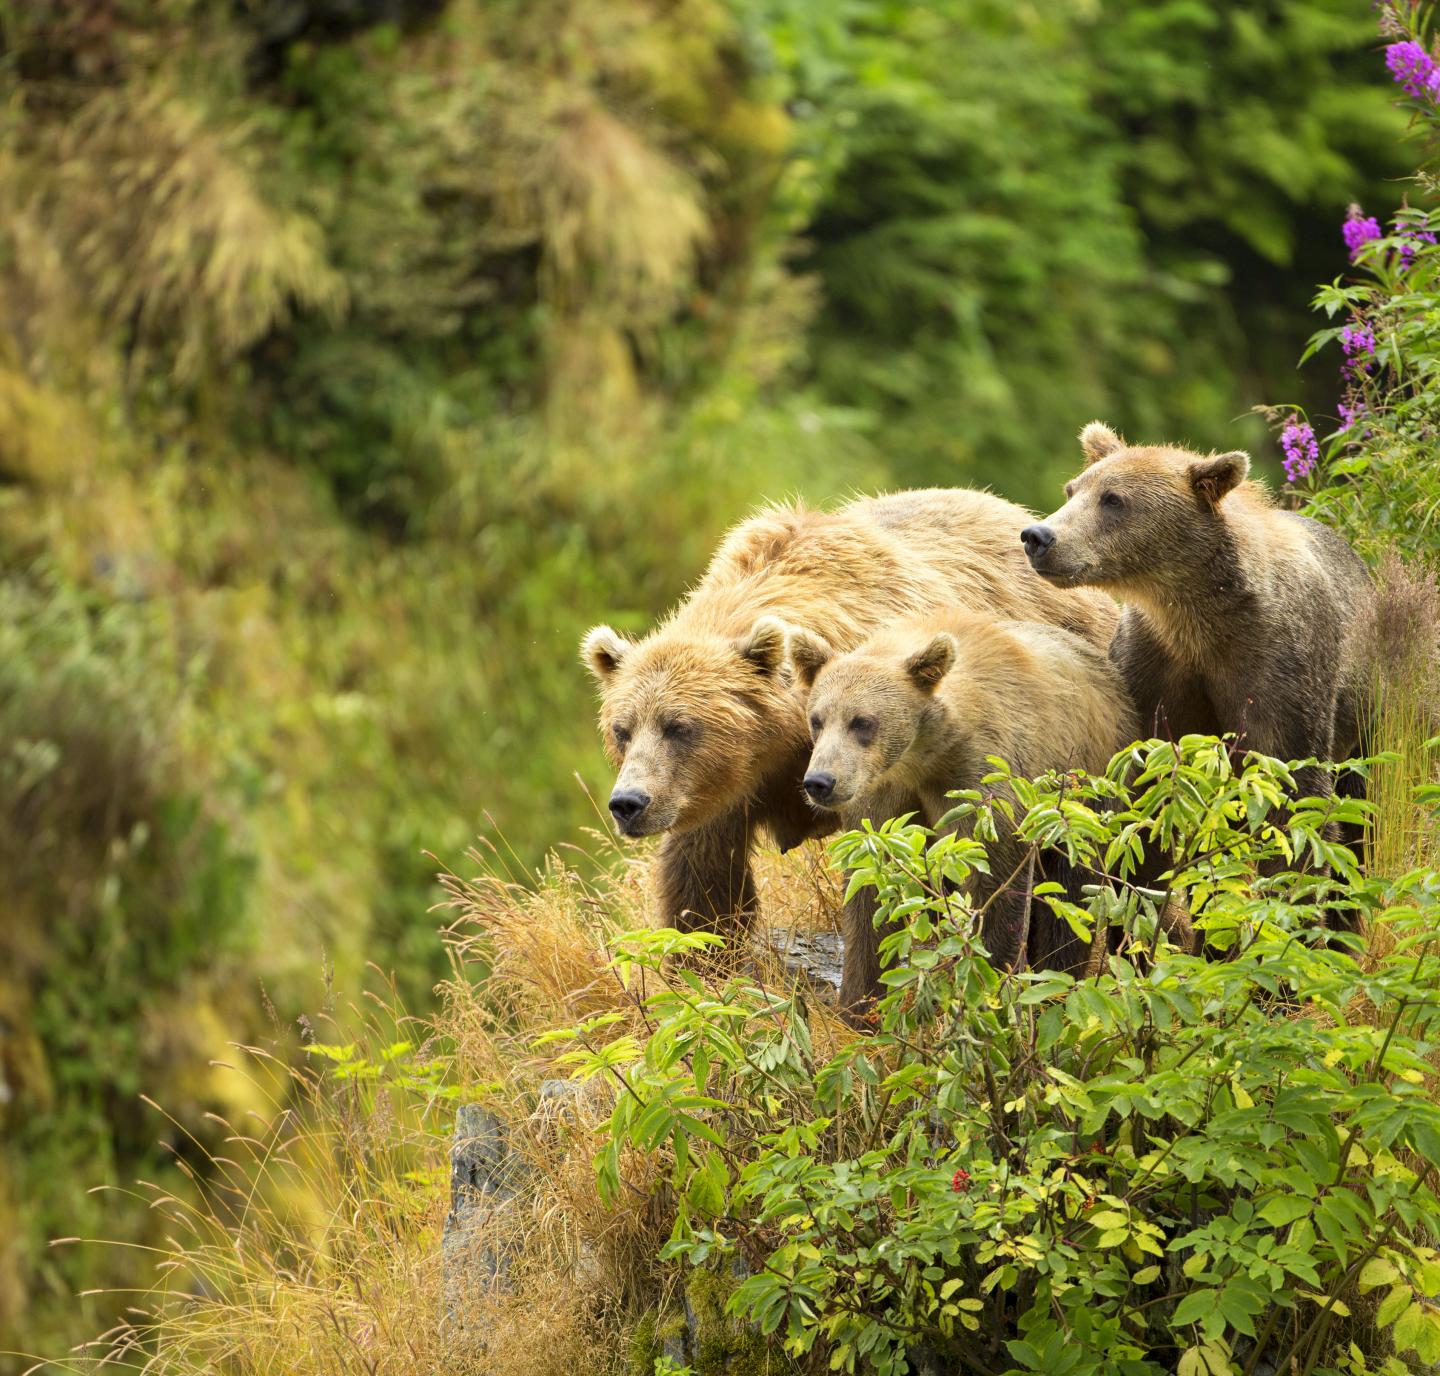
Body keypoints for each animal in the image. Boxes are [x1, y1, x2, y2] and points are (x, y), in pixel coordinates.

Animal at [581, 488, 1120, 986]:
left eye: (679, 726)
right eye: (622, 729)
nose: (629, 803)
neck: (782, 746)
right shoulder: (716, 792)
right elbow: (705, 886)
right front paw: (703, 968)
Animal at [784, 610, 1140, 1006]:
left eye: (863, 722)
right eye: (817, 719)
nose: (820, 781)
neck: (922, 757)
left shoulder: (983, 786)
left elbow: (995, 889)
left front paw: (989, 985)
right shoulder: (883, 801)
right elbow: (870, 897)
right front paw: (857, 1002)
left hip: (1085, 789)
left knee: (1071, 890)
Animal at [1019, 423, 1374, 930]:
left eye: (1113, 499)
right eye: (1073, 489)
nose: (1038, 536)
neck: (1195, 617)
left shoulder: (1279, 667)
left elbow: (1295, 803)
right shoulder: (1154, 669)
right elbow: (1144, 808)